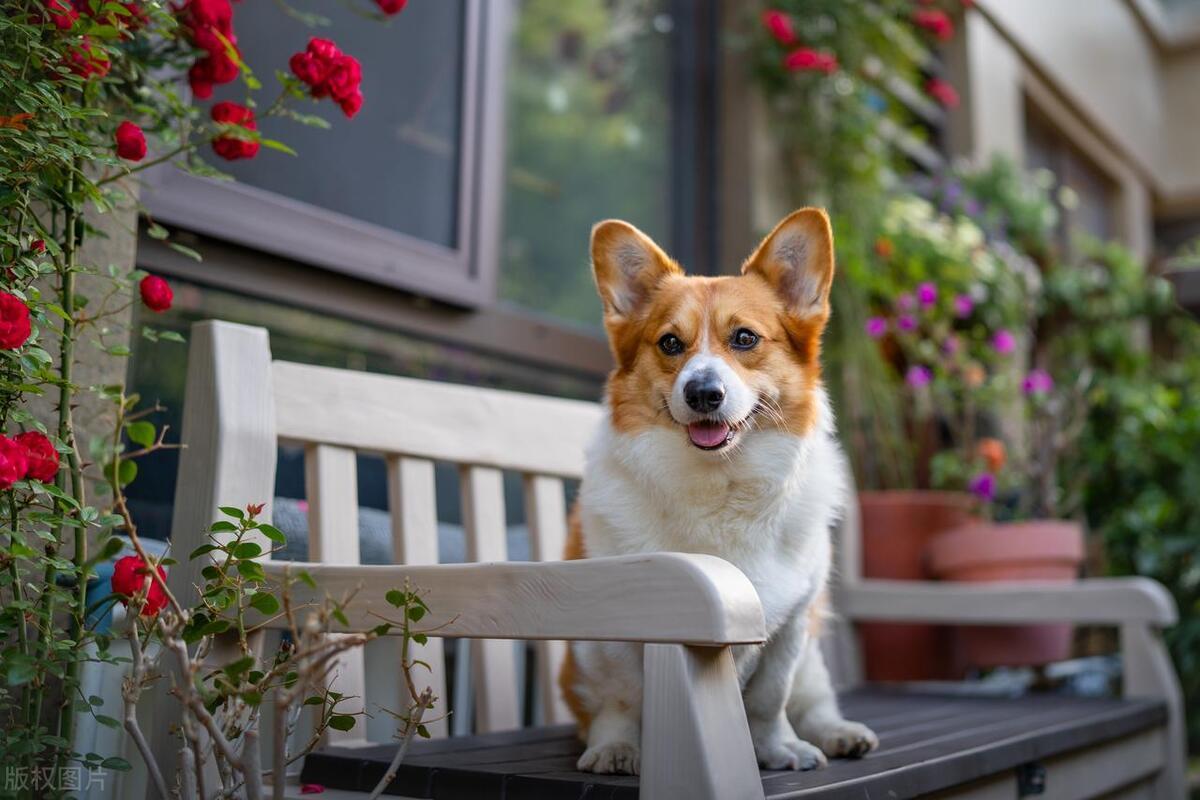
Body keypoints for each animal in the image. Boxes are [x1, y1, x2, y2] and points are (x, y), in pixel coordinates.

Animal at [556, 208, 878, 777]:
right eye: (669, 343)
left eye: (745, 338)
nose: (703, 393)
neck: (721, 484)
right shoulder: (609, 631)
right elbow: (621, 697)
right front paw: (618, 747)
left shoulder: (792, 628)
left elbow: (770, 698)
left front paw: (778, 747)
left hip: (814, 658)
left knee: (812, 701)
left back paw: (838, 732)